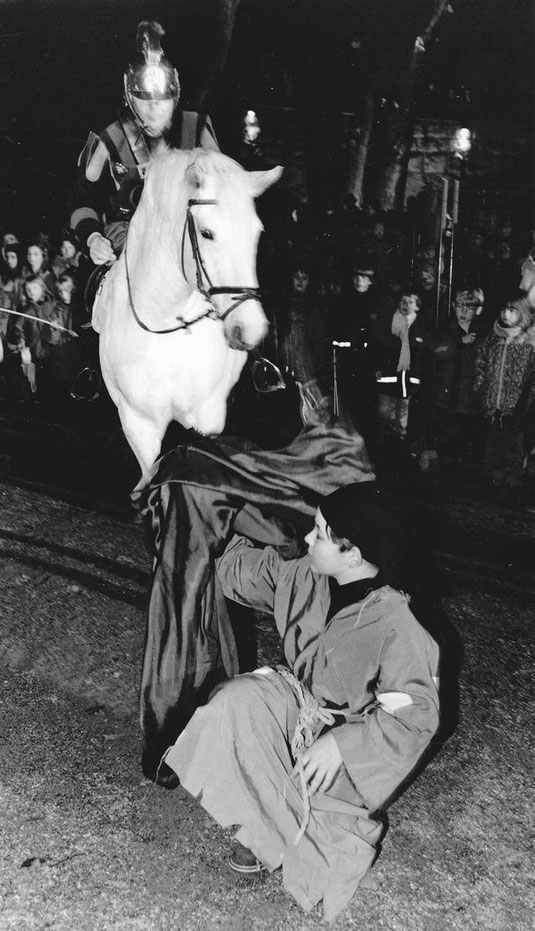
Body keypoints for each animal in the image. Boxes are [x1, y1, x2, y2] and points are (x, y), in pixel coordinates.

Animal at [93, 147, 282, 488]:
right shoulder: (139, 424)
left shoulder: (209, 416)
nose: (249, 329)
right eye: (207, 233)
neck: (170, 324)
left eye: (257, 233)